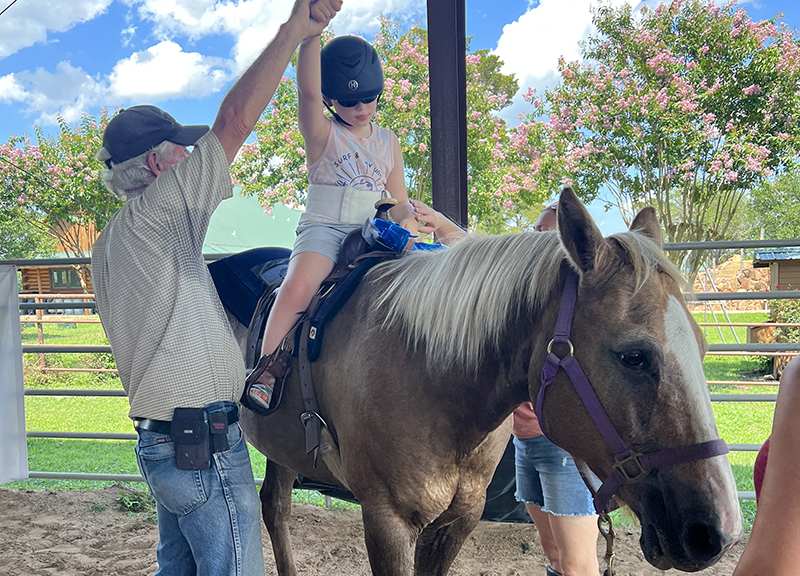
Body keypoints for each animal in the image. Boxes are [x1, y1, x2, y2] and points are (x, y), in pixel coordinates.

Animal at [227, 187, 744, 572]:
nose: (718, 532)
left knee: (275, 506)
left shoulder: (456, 523)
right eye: (634, 356)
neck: (430, 378)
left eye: (702, 348)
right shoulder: (386, 522)